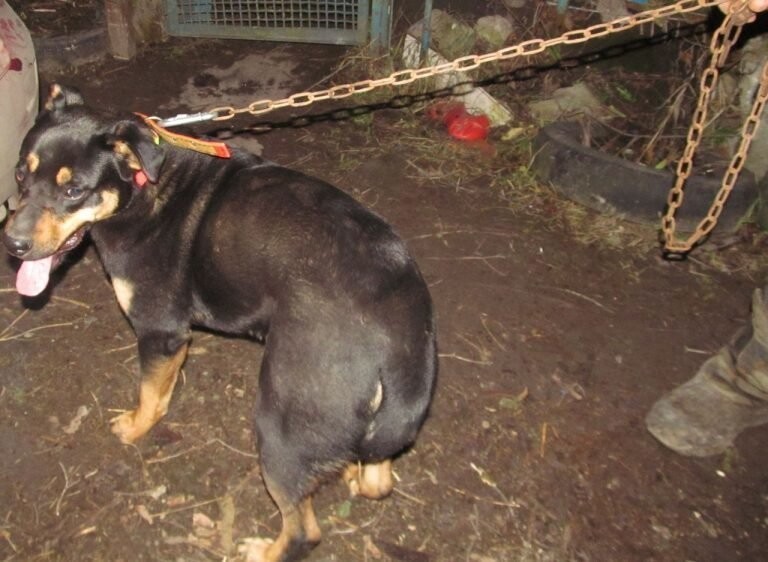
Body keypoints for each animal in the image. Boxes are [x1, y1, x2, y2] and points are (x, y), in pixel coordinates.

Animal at [4, 84, 438, 560]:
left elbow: (149, 395)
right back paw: (353, 473)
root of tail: (400, 324)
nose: (12, 244)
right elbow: (163, 390)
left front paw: (135, 428)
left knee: (304, 529)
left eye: (74, 191)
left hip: (280, 423)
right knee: (379, 472)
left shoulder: (160, 330)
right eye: (20, 175)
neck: (142, 188)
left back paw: (262, 550)